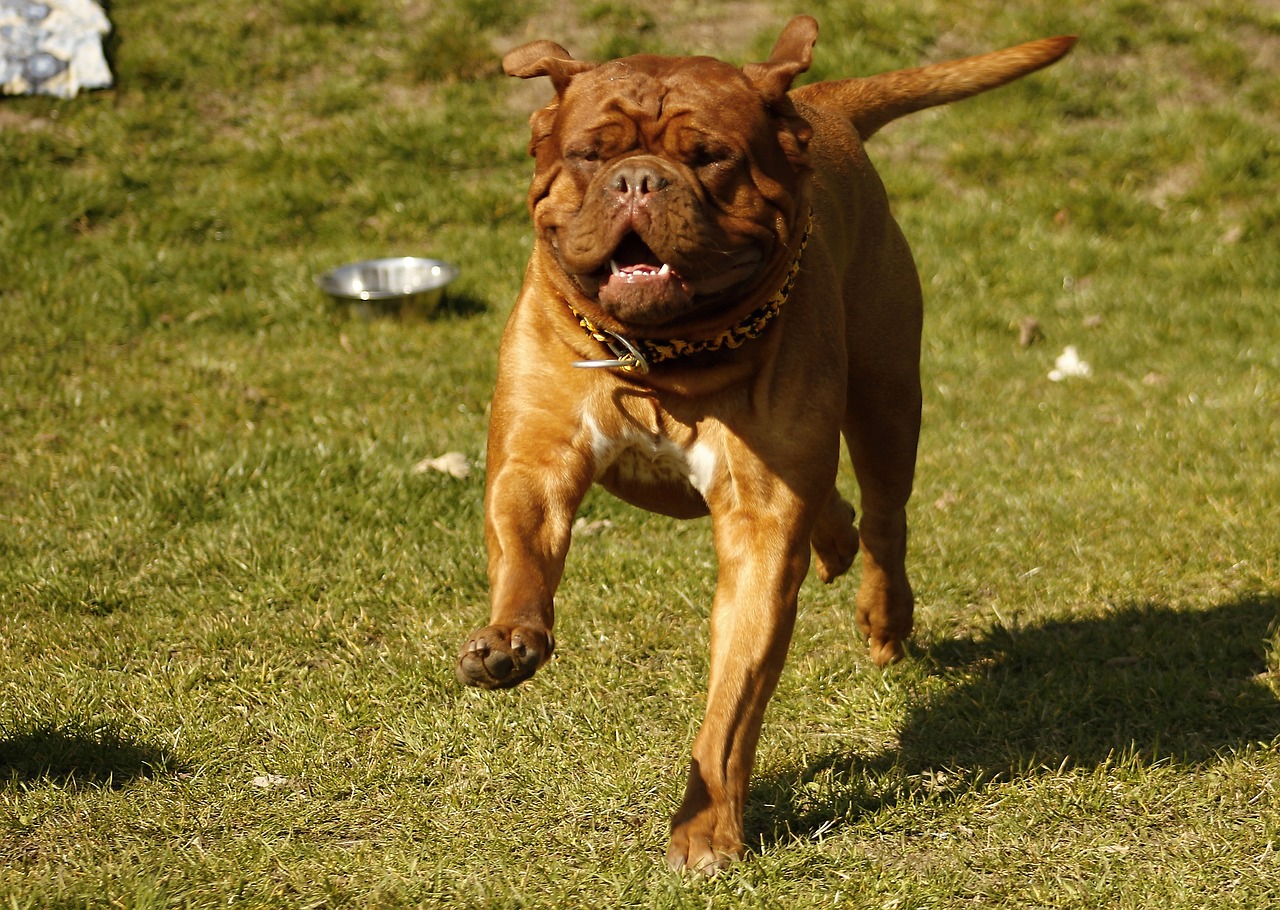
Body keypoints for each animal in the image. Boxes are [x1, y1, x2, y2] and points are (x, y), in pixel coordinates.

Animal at [455, 17, 1075, 875]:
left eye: (708, 155)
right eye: (589, 152)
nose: (637, 181)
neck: (667, 355)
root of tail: (819, 101)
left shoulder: (760, 529)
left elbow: (731, 708)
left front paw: (708, 828)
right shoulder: (534, 461)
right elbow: (522, 556)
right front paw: (509, 640)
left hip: (886, 397)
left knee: (886, 518)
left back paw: (884, 613)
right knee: (841, 507)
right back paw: (835, 540)